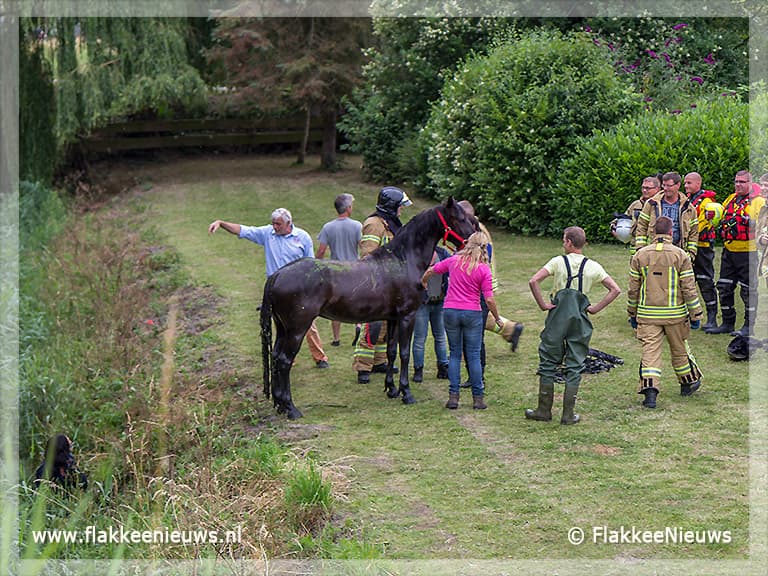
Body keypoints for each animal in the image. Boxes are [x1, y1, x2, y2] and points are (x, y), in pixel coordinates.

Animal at [259, 197, 477, 419]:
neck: (402, 260)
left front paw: (391, 389)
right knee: (284, 361)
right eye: (460, 218)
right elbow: (405, 353)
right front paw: (406, 393)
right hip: (297, 330)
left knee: (275, 357)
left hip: (282, 328)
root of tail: (277, 275)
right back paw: (291, 408)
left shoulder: (392, 319)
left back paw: (280, 404)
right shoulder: (408, 317)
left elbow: (391, 351)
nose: (475, 241)